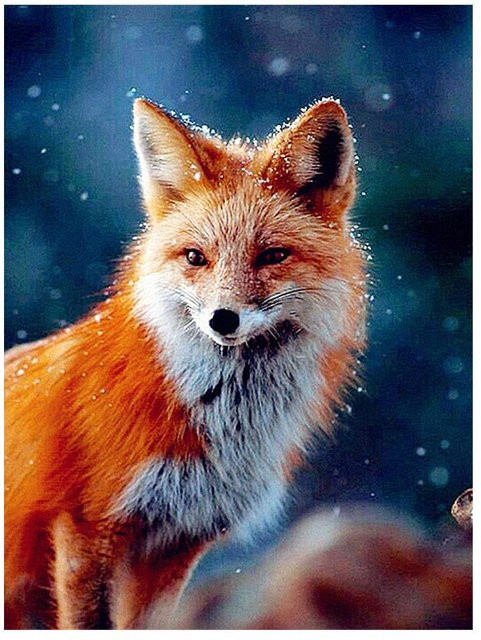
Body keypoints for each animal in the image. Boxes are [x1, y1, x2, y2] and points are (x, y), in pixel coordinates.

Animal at [4, 97, 367, 629]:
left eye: (273, 256)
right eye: (196, 257)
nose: (223, 318)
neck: (222, 426)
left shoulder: (178, 541)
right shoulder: (87, 527)